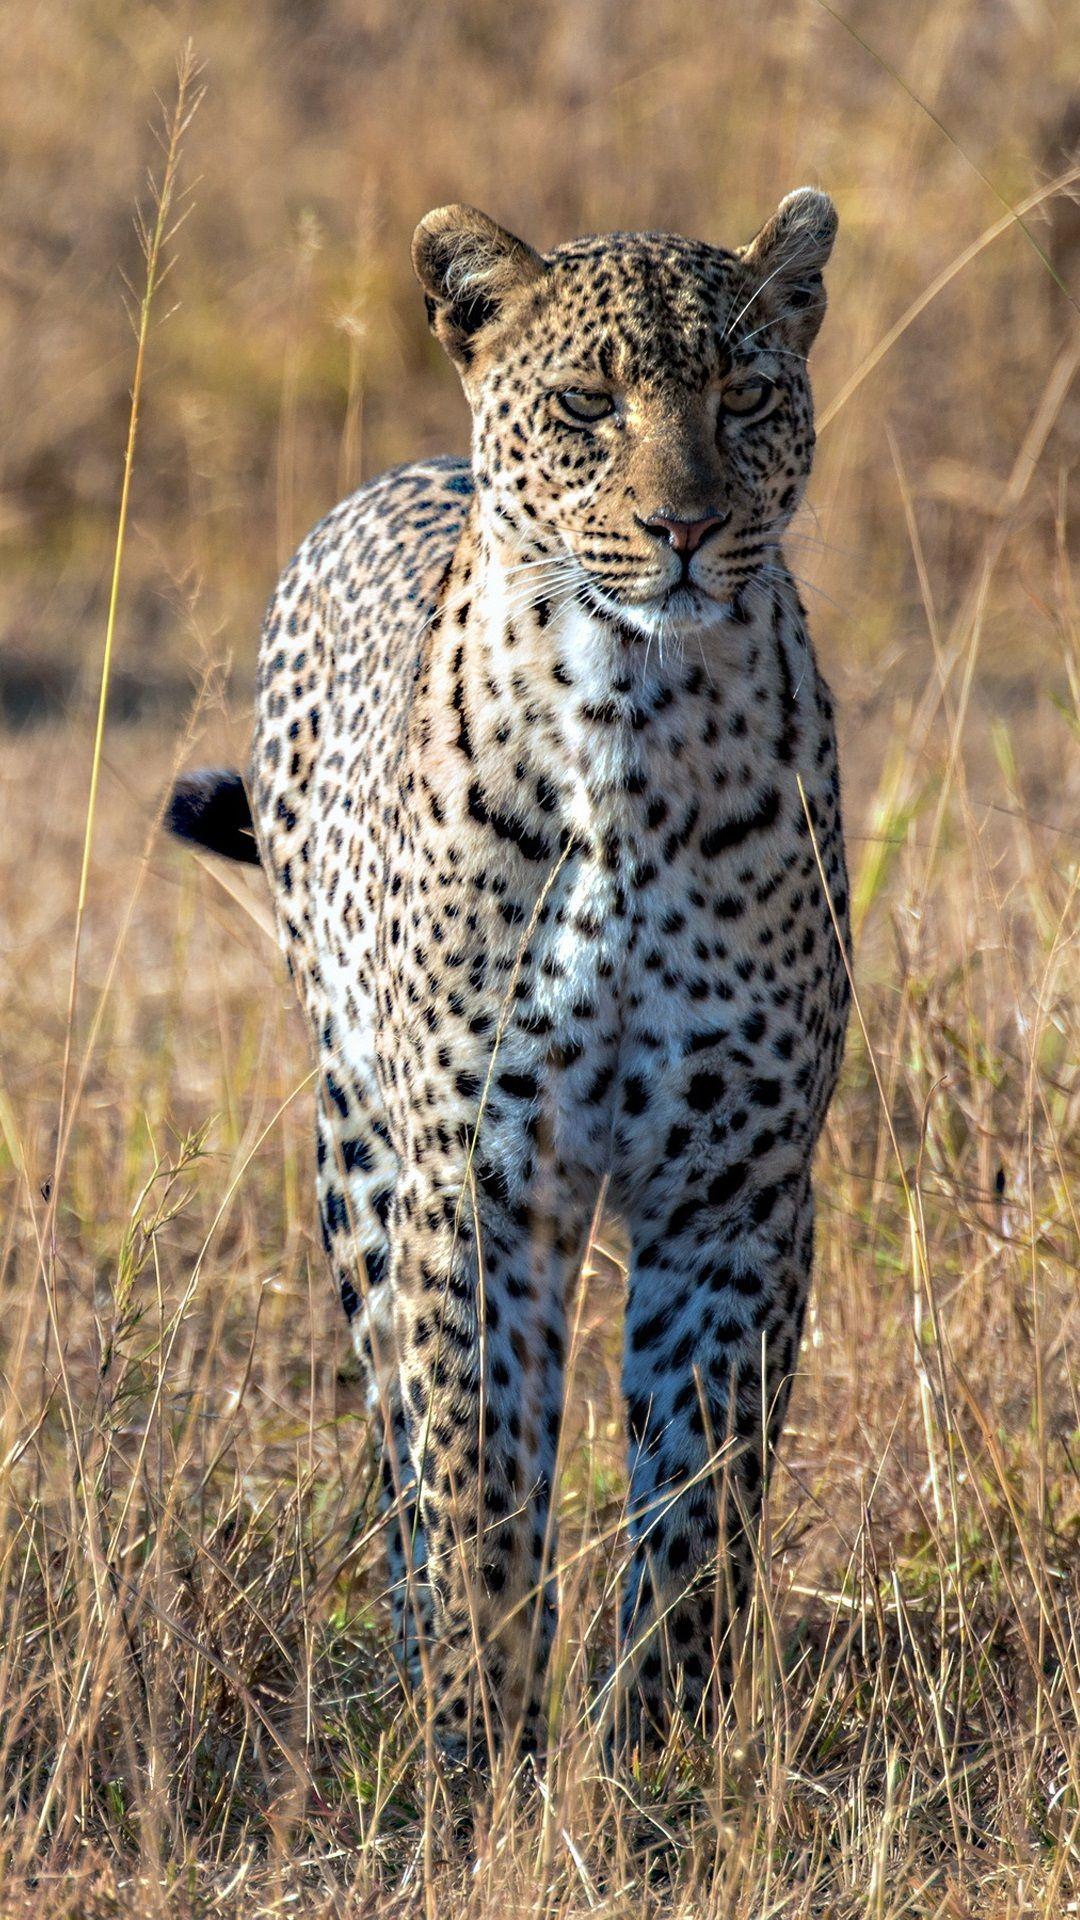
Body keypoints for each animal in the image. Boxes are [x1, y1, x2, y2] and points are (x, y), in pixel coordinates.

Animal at [169, 188, 851, 1762]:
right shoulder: (480, 1174)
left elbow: (700, 1498)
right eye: (588, 405)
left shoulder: (738, 1186)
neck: (636, 728)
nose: (685, 527)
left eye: (745, 395)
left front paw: (657, 1752)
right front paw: (485, 1742)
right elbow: (479, 1469)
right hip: (360, 1155)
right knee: (400, 1444)